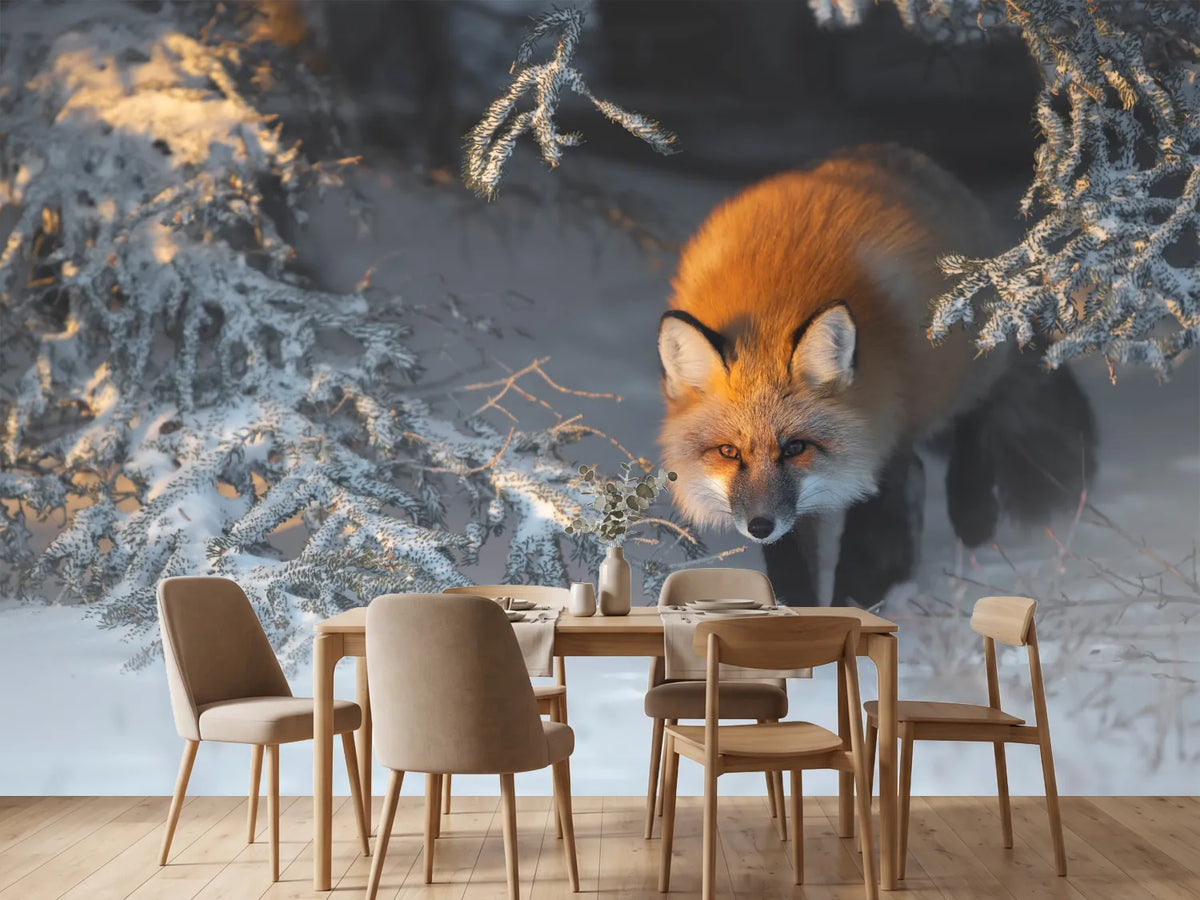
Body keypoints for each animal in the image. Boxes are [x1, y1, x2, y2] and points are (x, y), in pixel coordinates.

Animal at [657, 144, 1097, 608]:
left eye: (795, 448)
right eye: (728, 451)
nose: (760, 526)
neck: (772, 302)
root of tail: (891, 153)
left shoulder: (880, 440)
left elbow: (865, 553)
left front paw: (856, 608)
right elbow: (792, 568)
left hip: (957, 374)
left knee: (974, 420)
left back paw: (973, 514)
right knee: (921, 474)